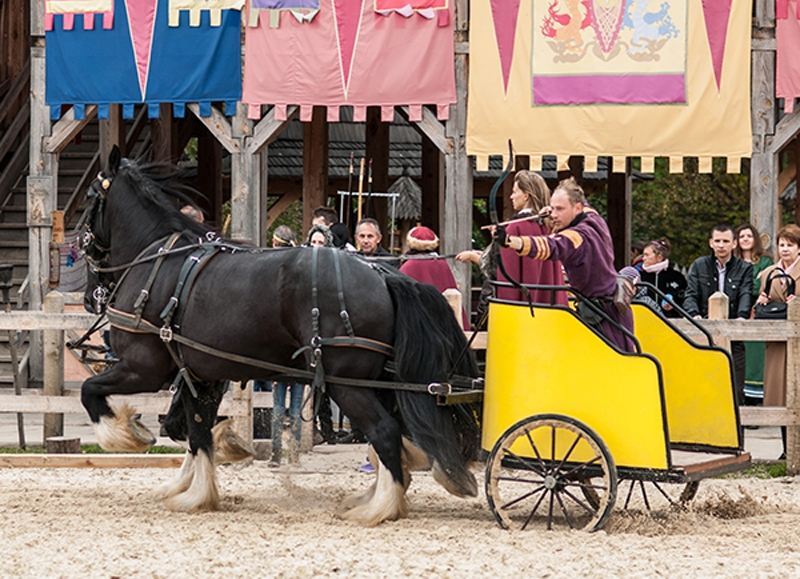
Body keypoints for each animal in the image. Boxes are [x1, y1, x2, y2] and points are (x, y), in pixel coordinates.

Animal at [79, 150, 482, 524]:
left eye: (89, 198)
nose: (89, 295)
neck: (159, 262)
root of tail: (383, 273)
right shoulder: (199, 376)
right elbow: (195, 431)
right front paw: (198, 489)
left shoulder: (142, 368)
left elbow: (91, 393)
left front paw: (129, 435)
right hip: (380, 382)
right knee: (397, 432)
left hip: (347, 384)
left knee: (384, 431)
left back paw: (379, 508)